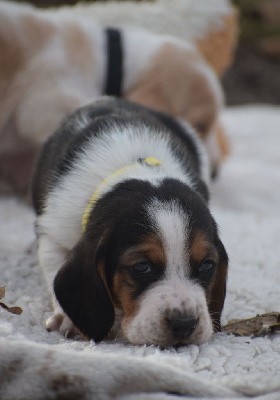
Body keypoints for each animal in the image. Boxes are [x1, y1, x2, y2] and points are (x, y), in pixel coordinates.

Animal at [32, 97, 228, 346]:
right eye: (142, 267)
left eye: (207, 265)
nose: (184, 324)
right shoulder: (54, 232)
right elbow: (54, 267)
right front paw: (68, 318)